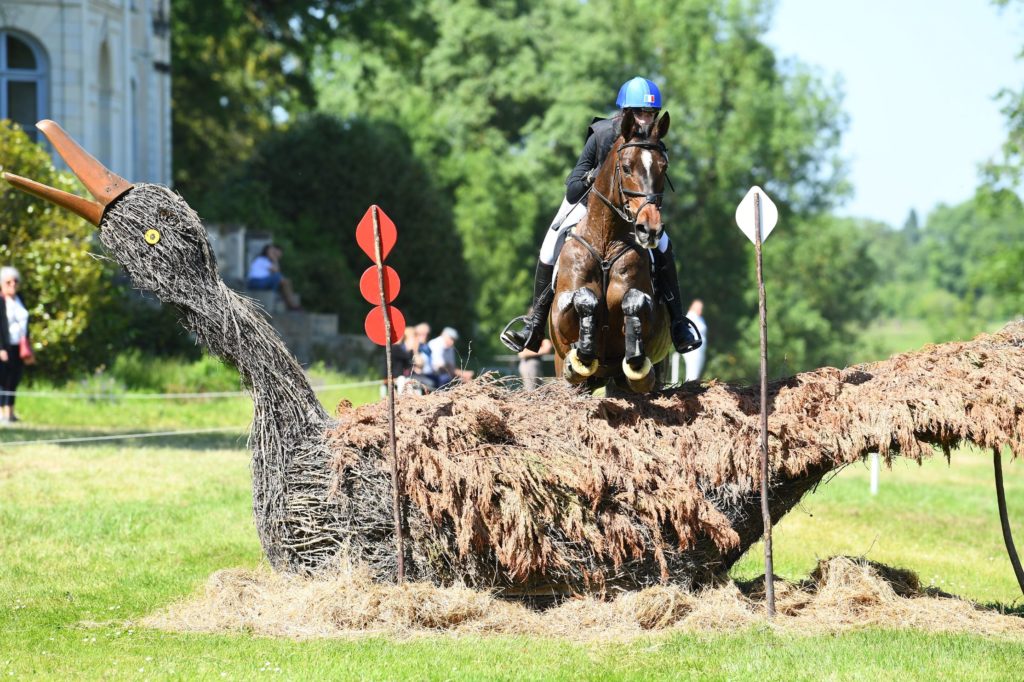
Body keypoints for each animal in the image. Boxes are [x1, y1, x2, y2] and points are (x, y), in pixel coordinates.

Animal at [552, 109, 671, 391]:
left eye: (664, 167)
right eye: (626, 167)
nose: (650, 229)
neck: (606, 244)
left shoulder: (652, 319)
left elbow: (634, 300)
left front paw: (636, 358)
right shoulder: (560, 318)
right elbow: (584, 298)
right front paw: (583, 353)